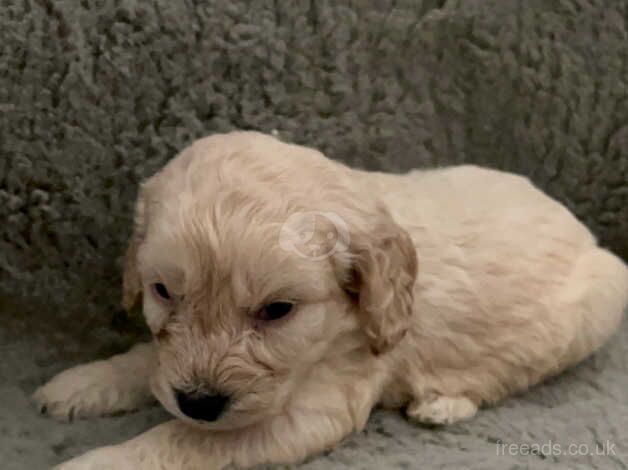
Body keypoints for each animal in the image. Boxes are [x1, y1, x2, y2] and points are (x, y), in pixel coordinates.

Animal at [35, 130, 628, 468]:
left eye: (277, 311)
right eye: (163, 292)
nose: (200, 403)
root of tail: (582, 228)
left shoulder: (313, 410)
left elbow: (180, 441)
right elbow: (146, 361)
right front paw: (82, 383)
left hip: (596, 306)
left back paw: (443, 403)